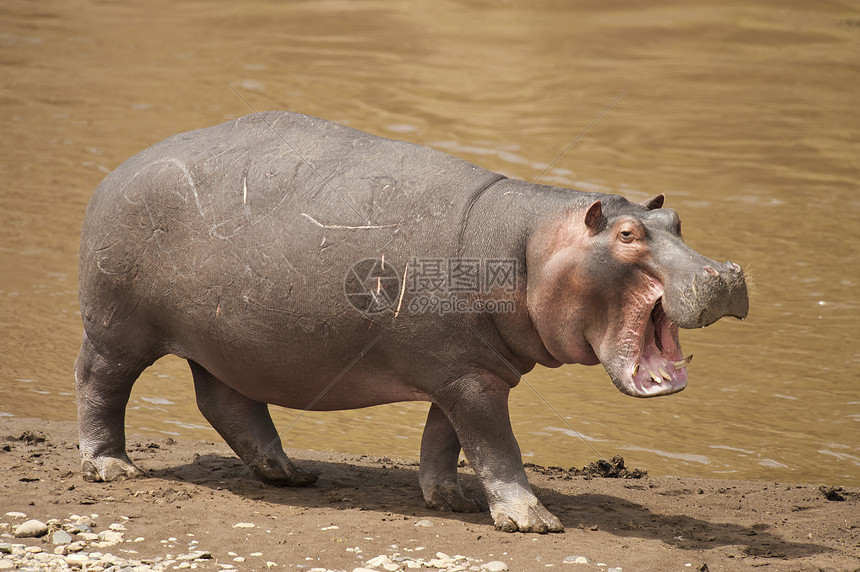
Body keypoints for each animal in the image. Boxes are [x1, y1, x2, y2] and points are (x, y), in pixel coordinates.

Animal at [75, 110, 744, 532]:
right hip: (117, 328)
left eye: (676, 219)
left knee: (228, 402)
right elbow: (497, 446)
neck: (533, 245)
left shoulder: (469, 371)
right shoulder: (470, 380)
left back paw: (293, 475)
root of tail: (118, 170)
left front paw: (451, 499)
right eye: (627, 235)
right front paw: (534, 522)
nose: (729, 272)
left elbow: (445, 439)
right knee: (99, 385)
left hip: (226, 340)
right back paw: (111, 468)